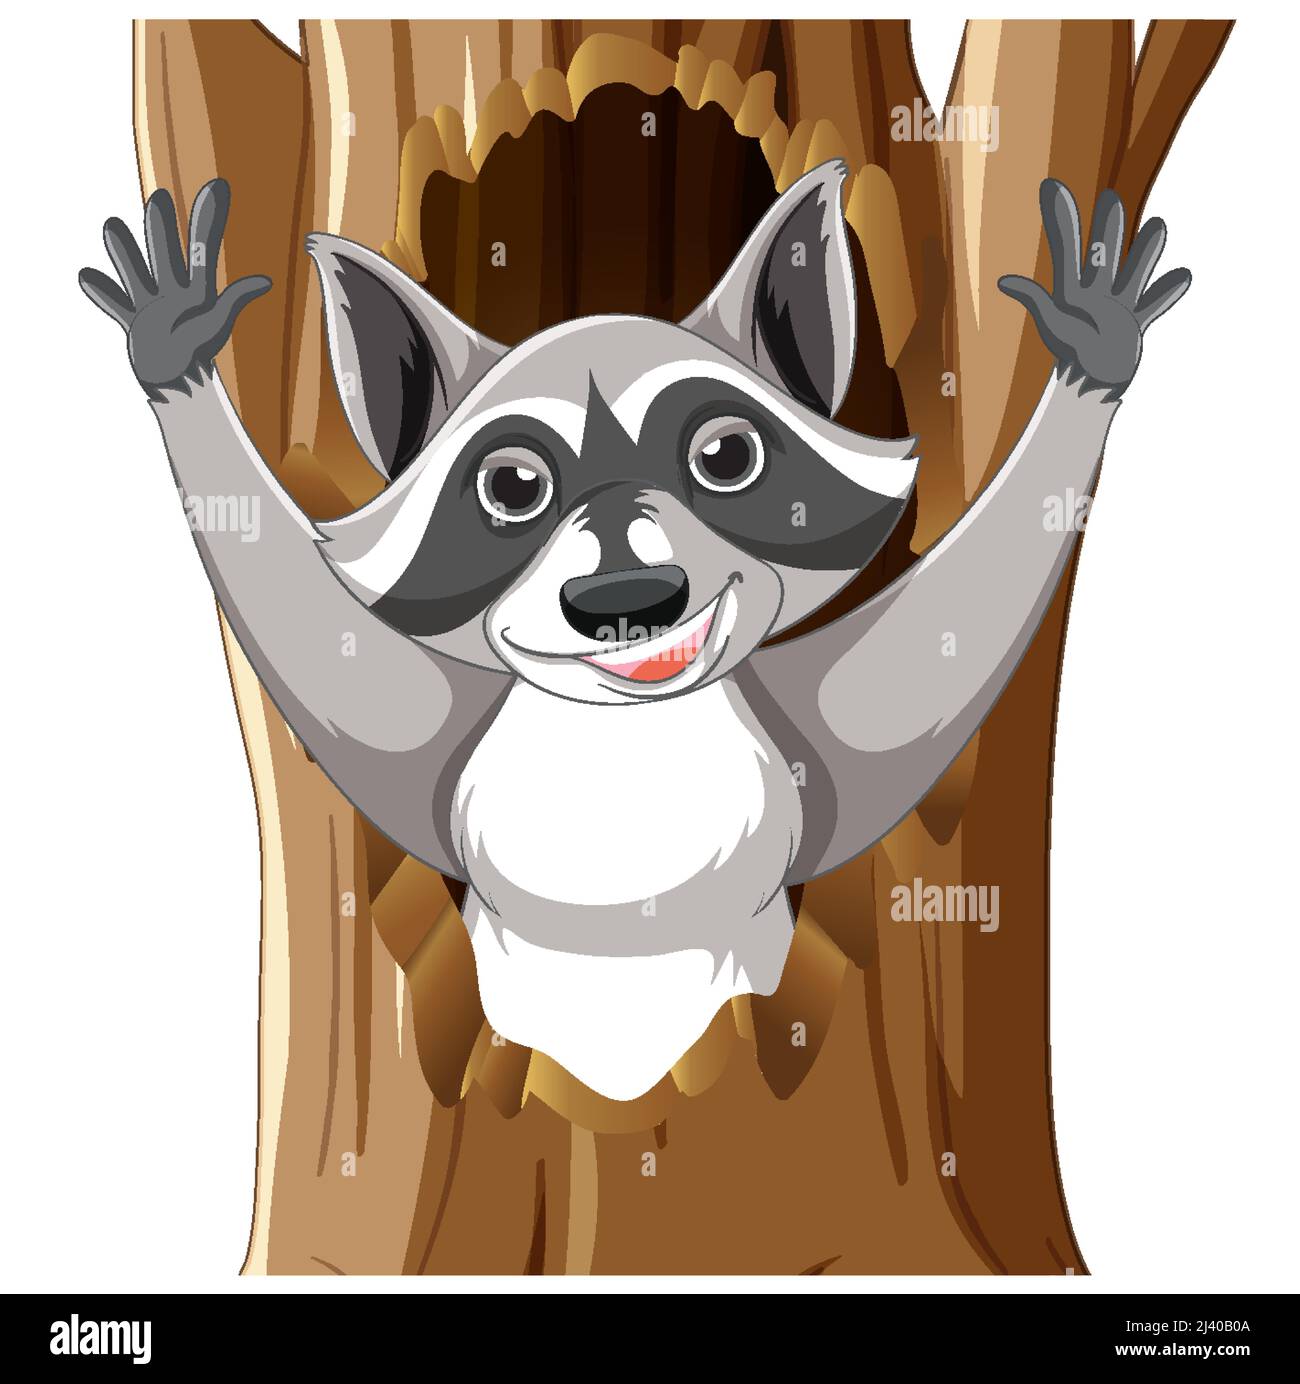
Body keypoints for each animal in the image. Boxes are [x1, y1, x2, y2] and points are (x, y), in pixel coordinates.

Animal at [80, 163, 1190, 1099]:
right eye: (512, 487)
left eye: (727, 456)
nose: (631, 591)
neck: (625, 726)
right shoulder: (446, 754)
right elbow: (326, 654)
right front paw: (180, 359)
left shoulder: (806, 749)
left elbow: (935, 651)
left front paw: (1087, 358)